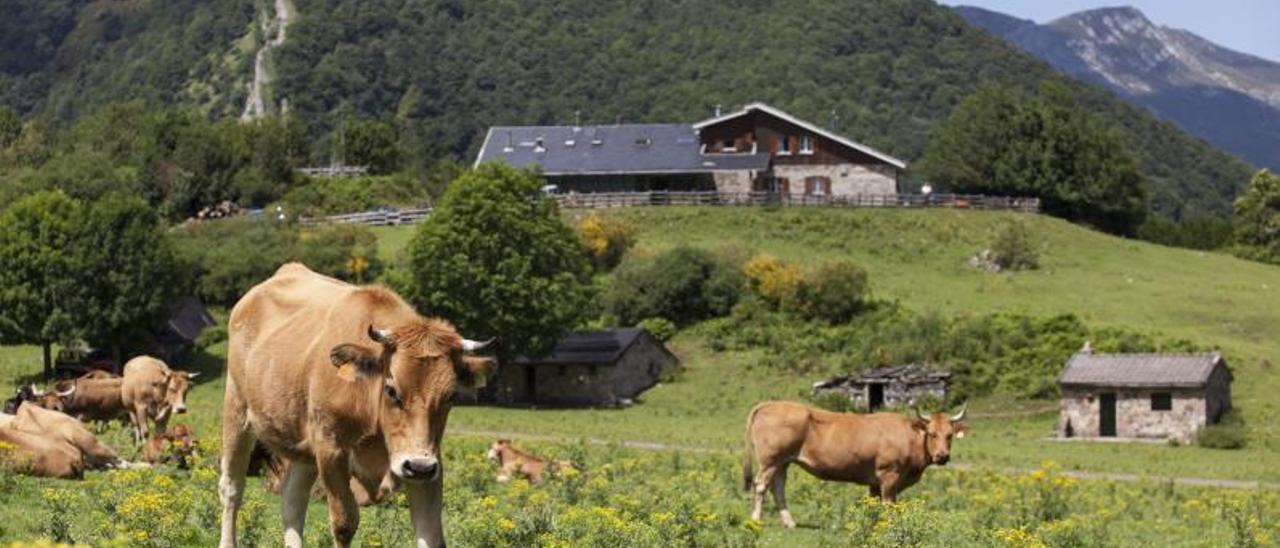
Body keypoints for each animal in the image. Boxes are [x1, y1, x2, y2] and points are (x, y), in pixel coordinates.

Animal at [215, 263, 494, 545]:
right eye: (391, 390)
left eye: (451, 397)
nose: (418, 466)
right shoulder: (331, 451)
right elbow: (344, 523)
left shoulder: (429, 461)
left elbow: (431, 533)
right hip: (237, 410)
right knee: (232, 488)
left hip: (303, 446)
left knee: (292, 501)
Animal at [742, 399, 967, 527]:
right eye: (932, 433)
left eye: (949, 435)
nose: (942, 456)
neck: (910, 436)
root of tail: (770, 404)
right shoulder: (889, 476)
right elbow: (889, 504)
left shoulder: (875, 482)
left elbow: (874, 504)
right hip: (770, 460)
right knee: (761, 485)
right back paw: (756, 519)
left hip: (783, 461)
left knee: (778, 488)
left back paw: (789, 522)